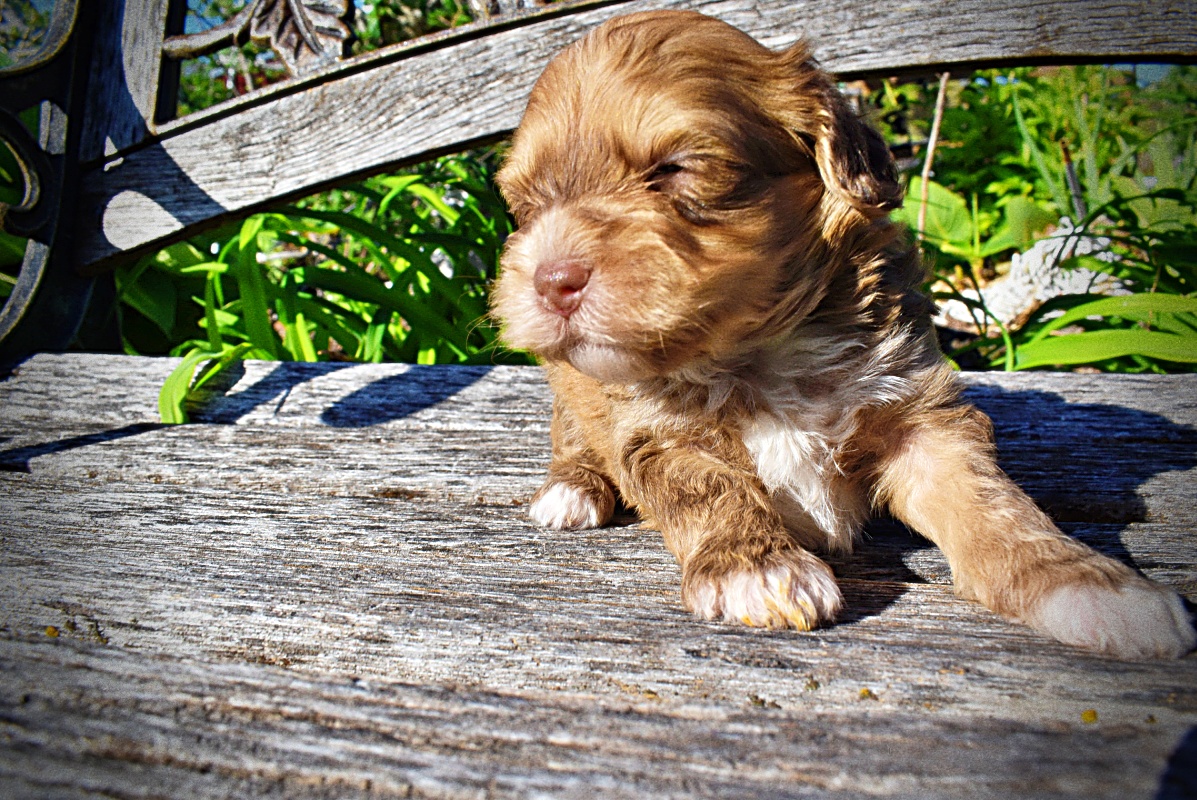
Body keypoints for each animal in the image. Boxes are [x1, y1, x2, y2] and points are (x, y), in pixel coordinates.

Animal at [490, 10, 1196, 659]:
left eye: (679, 168)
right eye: (526, 206)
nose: (551, 279)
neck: (753, 354)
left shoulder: (920, 414)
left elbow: (991, 503)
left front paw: (1087, 584)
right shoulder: (656, 429)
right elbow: (705, 486)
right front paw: (756, 569)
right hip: (572, 388)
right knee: (572, 435)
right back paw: (572, 489)